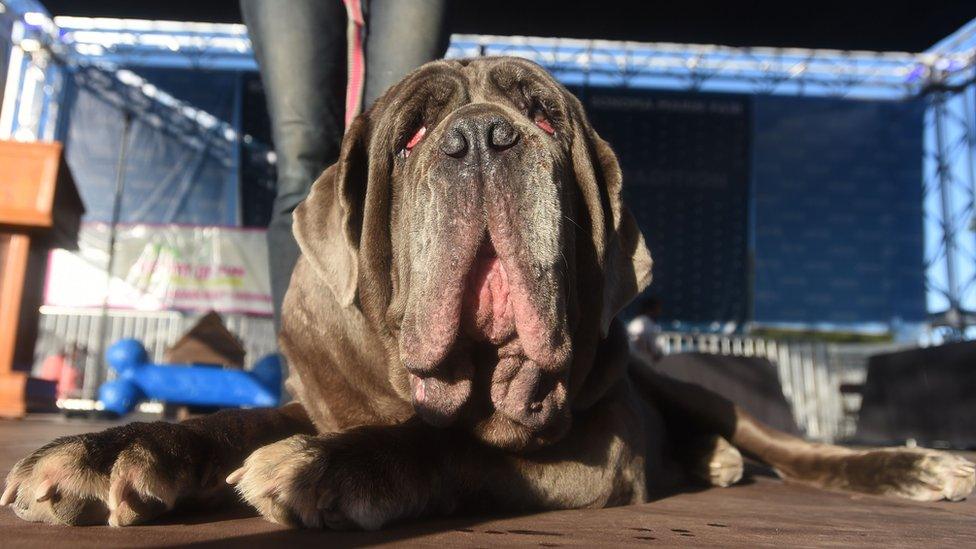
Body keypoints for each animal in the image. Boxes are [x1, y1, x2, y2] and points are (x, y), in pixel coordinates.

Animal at [3, 58, 972, 528]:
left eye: (542, 116)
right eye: (413, 134)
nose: (481, 138)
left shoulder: (590, 451)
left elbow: (458, 448)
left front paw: (328, 466)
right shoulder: (320, 397)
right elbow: (229, 421)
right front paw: (108, 451)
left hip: (700, 390)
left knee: (789, 445)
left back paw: (911, 464)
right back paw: (713, 463)